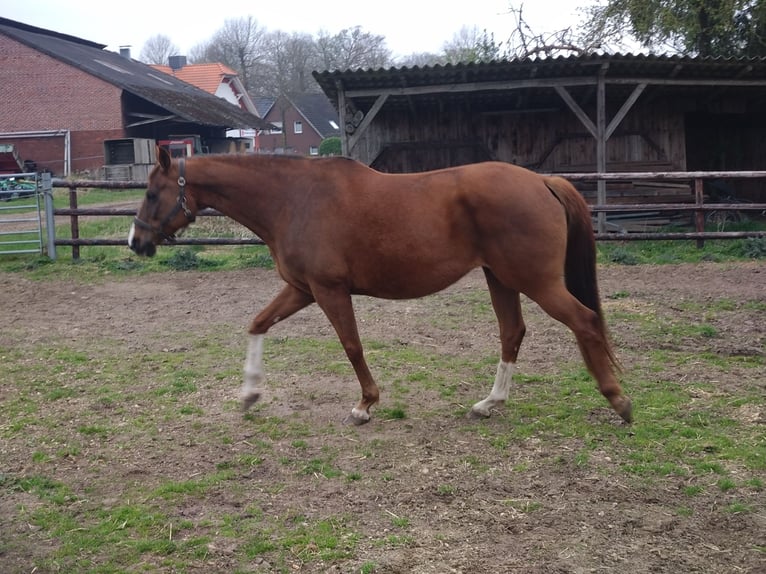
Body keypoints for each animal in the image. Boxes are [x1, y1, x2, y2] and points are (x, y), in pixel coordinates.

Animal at [129, 147, 632, 425]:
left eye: (151, 193)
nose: (136, 242)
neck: (292, 199)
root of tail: (542, 181)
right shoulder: (302, 289)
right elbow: (257, 324)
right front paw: (250, 394)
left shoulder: (329, 290)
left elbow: (351, 345)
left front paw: (365, 405)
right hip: (502, 278)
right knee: (513, 333)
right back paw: (489, 403)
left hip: (536, 281)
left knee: (585, 321)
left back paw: (618, 400)